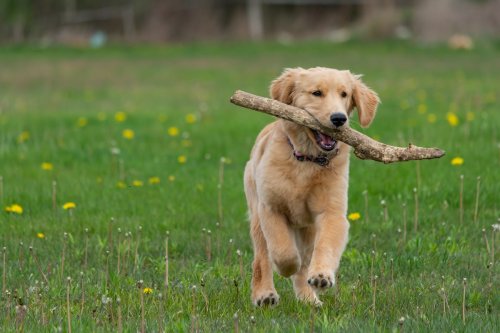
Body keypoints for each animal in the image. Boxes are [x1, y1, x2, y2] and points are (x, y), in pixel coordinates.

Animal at [242, 67, 378, 306]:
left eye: (344, 94)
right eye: (316, 93)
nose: (339, 118)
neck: (307, 161)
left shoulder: (332, 212)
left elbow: (325, 246)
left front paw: (322, 276)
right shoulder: (270, 208)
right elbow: (283, 250)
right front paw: (287, 267)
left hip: (309, 228)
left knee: (306, 258)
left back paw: (309, 299)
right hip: (256, 213)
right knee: (262, 257)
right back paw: (264, 294)